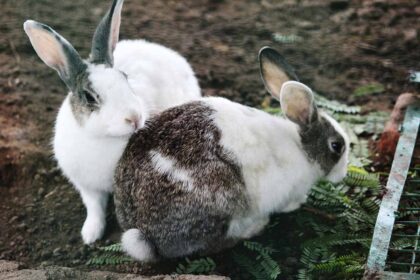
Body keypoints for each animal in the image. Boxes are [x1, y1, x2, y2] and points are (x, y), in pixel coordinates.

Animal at [23, 0, 201, 244]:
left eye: (125, 78)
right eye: (89, 97)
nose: (134, 117)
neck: (103, 138)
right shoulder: (87, 186)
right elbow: (94, 208)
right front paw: (90, 234)